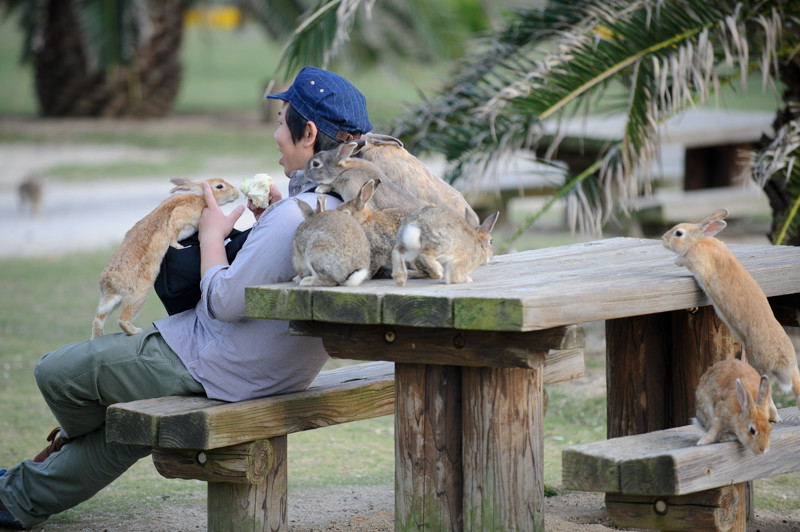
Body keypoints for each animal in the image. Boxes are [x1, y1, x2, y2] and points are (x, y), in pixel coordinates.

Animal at [91, 177, 238, 338]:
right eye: (219, 186)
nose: (236, 193)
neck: (201, 197)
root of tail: (110, 284)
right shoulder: (179, 217)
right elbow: (173, 237)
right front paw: (182, 248)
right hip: (139, 296)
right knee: (122, 319)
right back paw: (136, 331)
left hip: (113, 302)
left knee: (99, 319)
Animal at [664, 208, 800, 416]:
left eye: (678, 233)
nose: (663, 239)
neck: (698, 240)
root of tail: (784, 362)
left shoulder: (696, 260)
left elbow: (684, 260)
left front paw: (676, 260)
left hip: (757, 364)